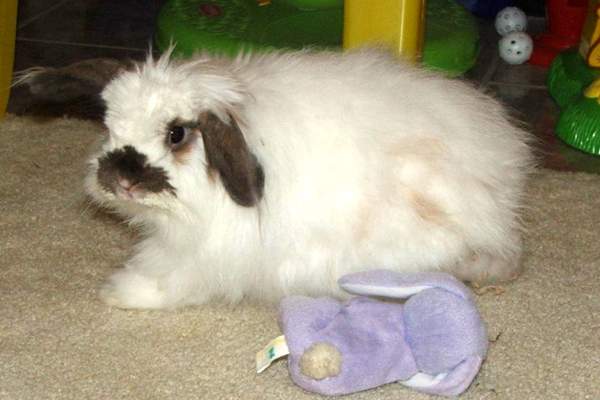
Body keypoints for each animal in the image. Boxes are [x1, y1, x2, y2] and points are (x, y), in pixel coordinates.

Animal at [71, 47, 536, 310]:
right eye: (110, 127)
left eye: (176, 134)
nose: (119, 180)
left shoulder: (203, 254)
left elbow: (169, 278)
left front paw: (119, 293)